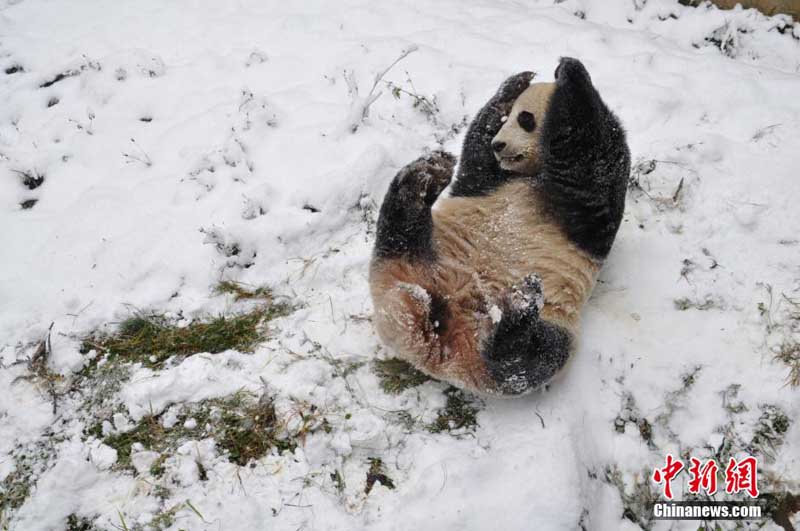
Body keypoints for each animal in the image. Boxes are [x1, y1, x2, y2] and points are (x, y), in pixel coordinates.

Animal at [370, 59, 632, 400]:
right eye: (509, 119)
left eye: (525, 119)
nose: (500, 144)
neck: (531, 175)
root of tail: (432, 339)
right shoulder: (488, 182)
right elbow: (478, 149)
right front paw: (516, 84)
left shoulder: (589, 209)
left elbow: (596, 159)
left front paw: (569, 74)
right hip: (423, 255)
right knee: (398, 231)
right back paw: (422, 178)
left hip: (555, 323)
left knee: (531, 359)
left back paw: (517, 311)